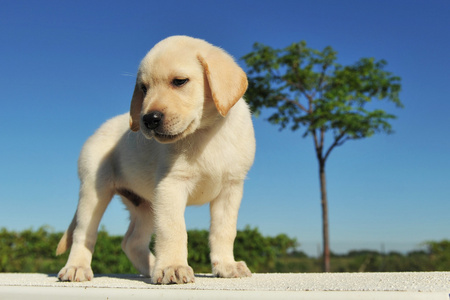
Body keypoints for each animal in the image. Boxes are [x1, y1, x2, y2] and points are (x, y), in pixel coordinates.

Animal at [54, 35, 255, 284]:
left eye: (179, 81)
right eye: (144, 88)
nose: (149, 119)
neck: (205, 133)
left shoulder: (231, 188)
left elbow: (224, 231)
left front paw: (226, 266)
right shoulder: (170, 186)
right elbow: (174, 230)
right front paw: (173, 267)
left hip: (146, 205)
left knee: (131, 242)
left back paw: (151, 267)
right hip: (94, 192)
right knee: (83, 233)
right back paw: (76, 268)